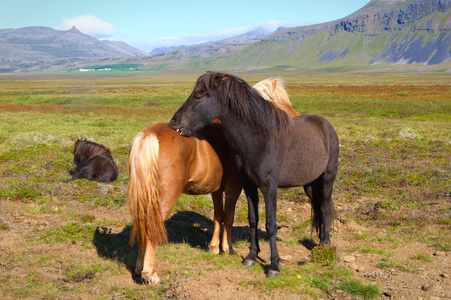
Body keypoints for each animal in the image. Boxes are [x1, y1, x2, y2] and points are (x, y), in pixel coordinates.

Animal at [127, 77, 298, 284]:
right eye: (281, 104)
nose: (296, 118)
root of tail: (150, 135)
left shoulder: (216, 189)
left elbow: (218, 215)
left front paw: (214, 247)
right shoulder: (234, 187)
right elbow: (229, 217)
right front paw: (228, 248)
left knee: (141, 223)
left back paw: (138, 267)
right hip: (164, 198)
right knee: (151, 226)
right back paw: (150, 273)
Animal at [170, 71, 340, 278]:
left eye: (199, 95)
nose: (174, 122)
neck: (259, 140)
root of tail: (326, 125)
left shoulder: (269, 188)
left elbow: (270, 224)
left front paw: (274, 266)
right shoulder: (249, 185)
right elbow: (253, 220)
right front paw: (251, 257)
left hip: (327, 180)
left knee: (324, 207)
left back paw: (325, 244)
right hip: (309, 184)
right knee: (318, 206)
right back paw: (321, 241)